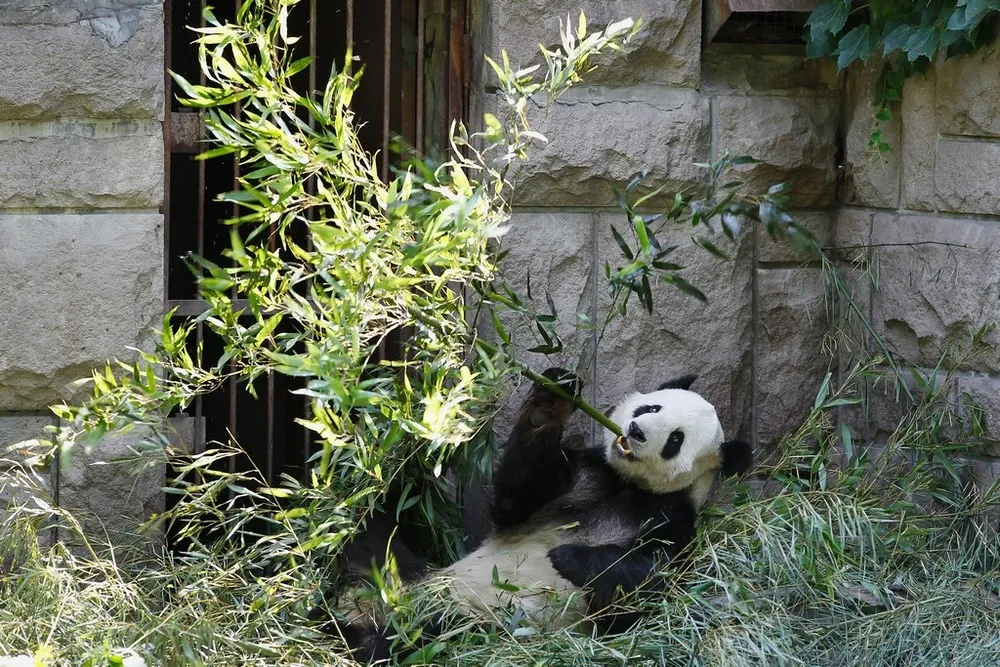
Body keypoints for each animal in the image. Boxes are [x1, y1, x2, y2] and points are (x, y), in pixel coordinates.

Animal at [340, 370, 752, 664]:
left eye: (676, 440)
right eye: (652, 409)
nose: (635, 431)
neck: (630, 487)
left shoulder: (672, 517)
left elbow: (646, 584)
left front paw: (569, 558)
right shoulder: (589, 474)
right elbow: (516, 497)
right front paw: (549, 403)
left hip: (471, 621)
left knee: (422, 635)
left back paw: (366, 638)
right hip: (403, 575)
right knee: (370, 542)